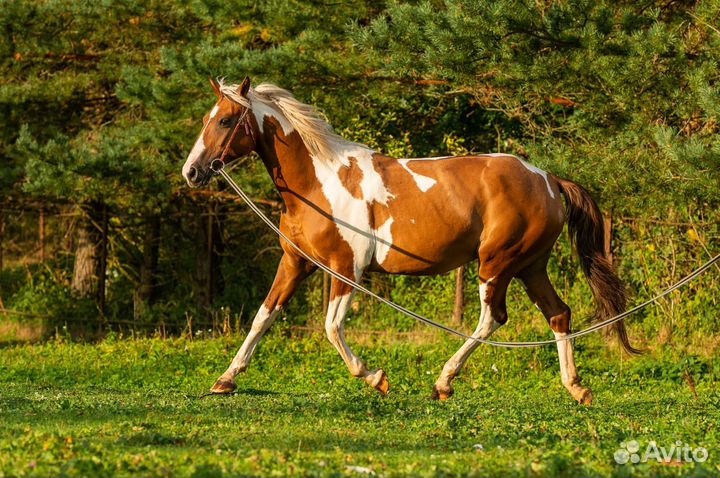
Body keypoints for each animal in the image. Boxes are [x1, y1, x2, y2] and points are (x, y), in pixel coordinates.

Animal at [183, 76, 640, 406]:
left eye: (225, 121)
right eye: (207, 117)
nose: (192, 172)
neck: (318, 182)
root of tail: (548, 180)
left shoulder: (347, 269)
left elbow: (331, 327)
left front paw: (376, 378)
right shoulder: (295, 263)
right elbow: (264, 316)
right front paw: (225, 379)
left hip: (496, 265)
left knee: (493, 318)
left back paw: (443, 382)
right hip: (530, 266)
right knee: (558, 314)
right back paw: (577, 388)